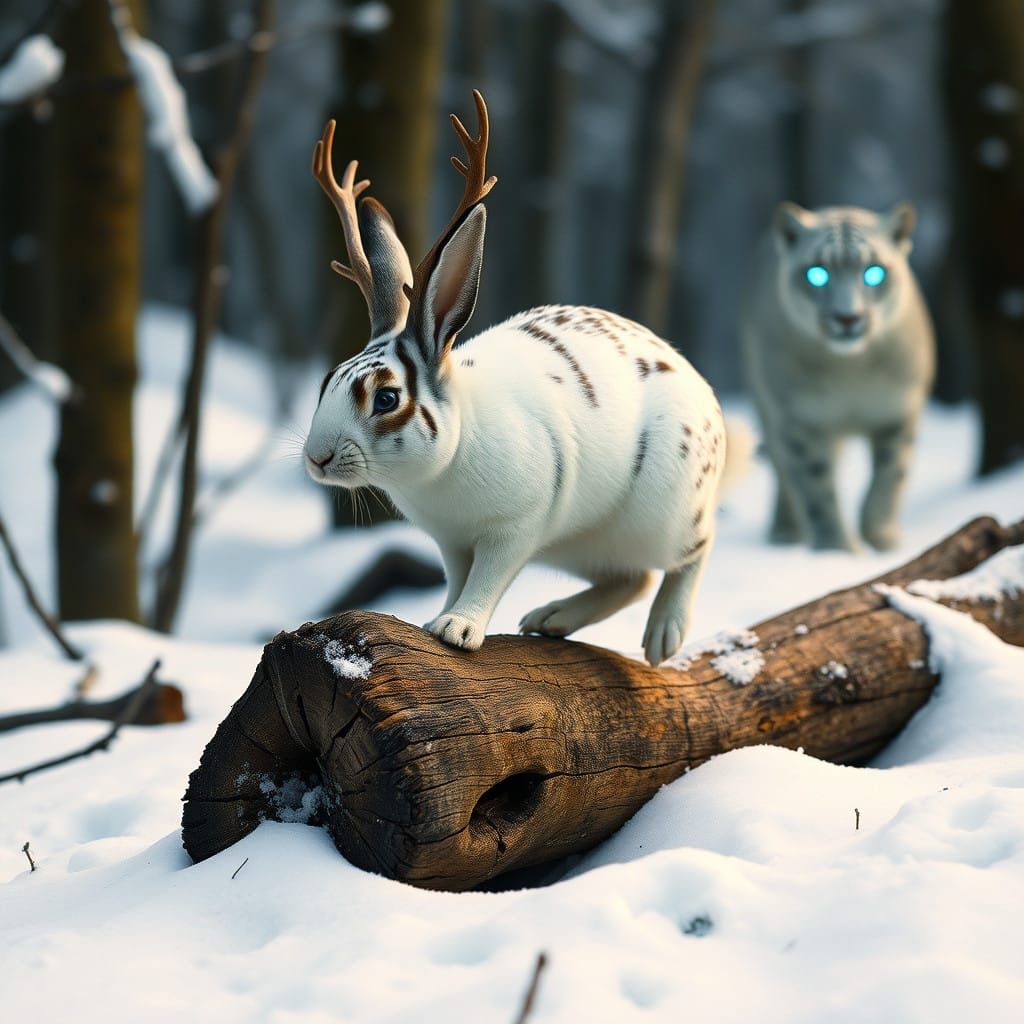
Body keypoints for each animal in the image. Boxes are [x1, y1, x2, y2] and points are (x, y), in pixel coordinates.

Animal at [304, 92, 727, 665]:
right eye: (326, 381)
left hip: (664, 515)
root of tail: (710, 406)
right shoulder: (452, 542)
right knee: (631, 578)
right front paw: (434, 618)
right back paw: (550, 619)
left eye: (387, 397)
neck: (449, 456)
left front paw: (457, 628)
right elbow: (458, 577)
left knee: (693, 551)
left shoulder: (513, 530)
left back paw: (663, 636)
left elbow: (488, 579)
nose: (316, 459)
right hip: (585, 545)